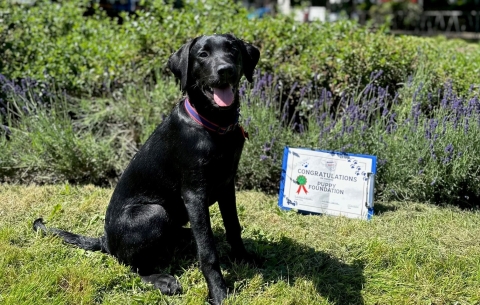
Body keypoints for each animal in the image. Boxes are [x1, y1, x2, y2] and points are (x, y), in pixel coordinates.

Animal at [34, 34, 260, 302]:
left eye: (233, 50)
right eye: (203, 55)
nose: (225, 70)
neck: (214, 126)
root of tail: (105, 242)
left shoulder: (227, 184)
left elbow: (233, 227)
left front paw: (244, 258)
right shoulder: (194, 194)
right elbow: (208, 251)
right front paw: (219, 292)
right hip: (153, 213)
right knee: (132, 266)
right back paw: (162, 279)